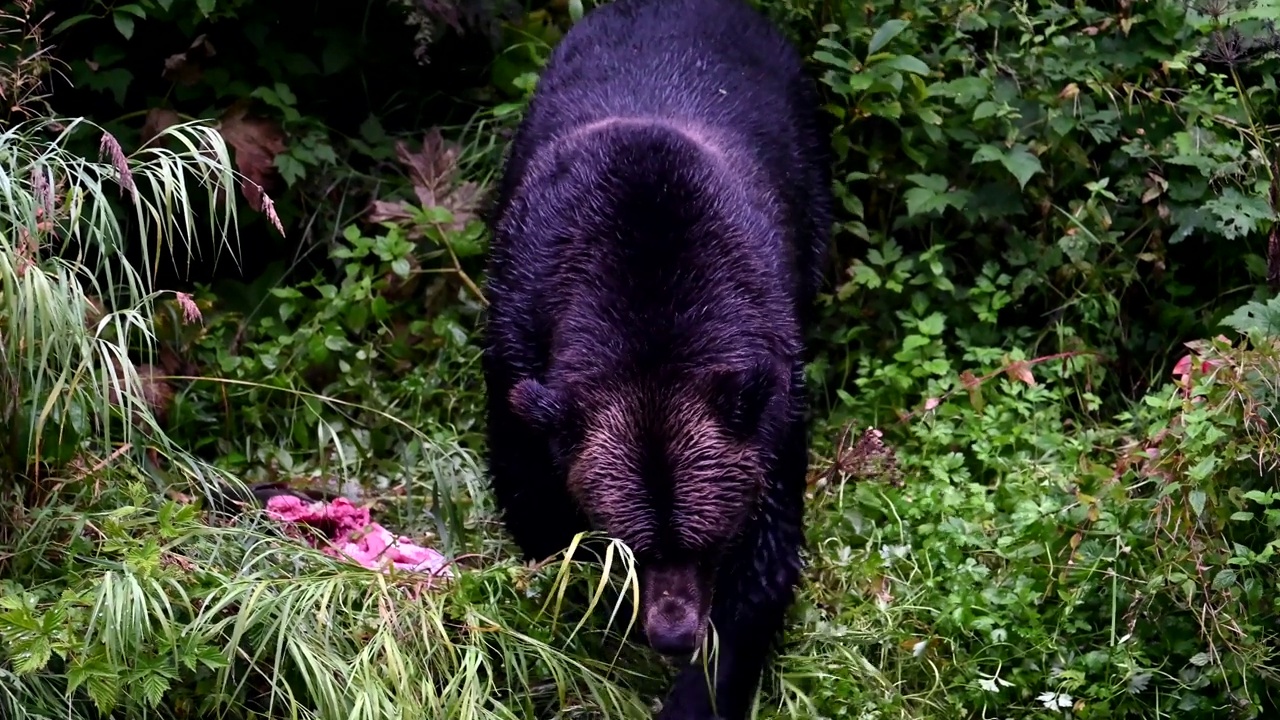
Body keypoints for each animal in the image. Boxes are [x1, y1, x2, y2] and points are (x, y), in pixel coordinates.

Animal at [478, 0, 829, 712]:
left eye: (709, 539)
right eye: (632, 544)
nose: (672, 632)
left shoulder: (772, 399)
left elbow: (764, 569)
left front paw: (699, 690)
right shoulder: (519, 347)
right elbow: (536, 510)